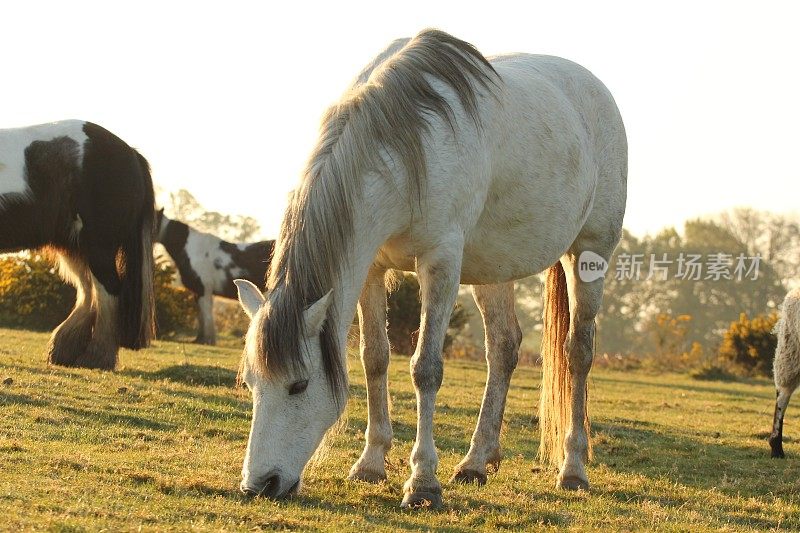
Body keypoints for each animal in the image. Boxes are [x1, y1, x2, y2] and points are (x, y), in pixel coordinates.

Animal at [0, 120, 156, 370]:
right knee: (88, 291)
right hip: (76, 248)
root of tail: (130, 153)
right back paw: (64, 351)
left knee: (107, 291)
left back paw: (96, 358)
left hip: (98, 249)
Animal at [156, 211, 276, 344]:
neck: (193, 250)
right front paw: (200, 339)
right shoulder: (198, 292)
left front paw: (207, 340)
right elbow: (201, 316)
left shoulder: (204, 290)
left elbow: (206, 316)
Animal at [234, 30, 628, 508]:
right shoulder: (370, 267)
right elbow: (375, 358)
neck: (403, 144)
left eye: (299, 385)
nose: (260, 484)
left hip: (589, 253)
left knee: (578, 352)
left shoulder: (440, 261)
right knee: (504, 348)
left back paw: (573, 468)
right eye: (251, 383)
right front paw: (370, 463)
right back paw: (476, 462)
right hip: (494, 267)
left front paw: (422, 482)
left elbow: (426, 368)